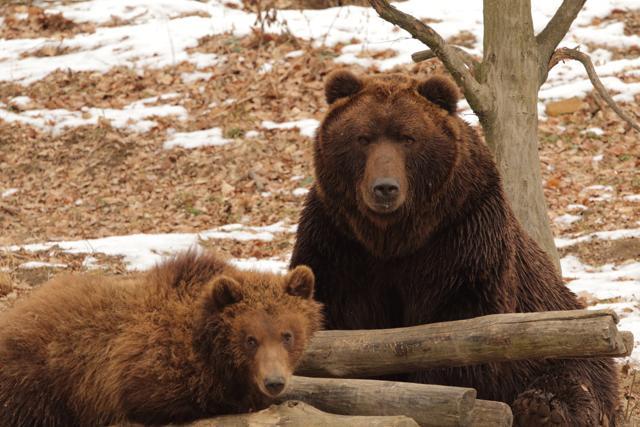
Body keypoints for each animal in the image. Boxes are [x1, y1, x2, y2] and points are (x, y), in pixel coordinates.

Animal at [290, 70, 618, 426]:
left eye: (408, 138)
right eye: (363, 138)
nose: (385, 188)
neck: (392, 238)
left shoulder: (462, 237)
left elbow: (458, 337)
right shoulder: (338, 243)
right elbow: (336, 321)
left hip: (564, 335)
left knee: (573, 378)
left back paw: (543, 407)